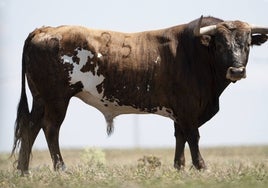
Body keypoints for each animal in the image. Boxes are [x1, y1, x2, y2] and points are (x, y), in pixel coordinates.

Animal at [12, 15, 268, 174]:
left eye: (247, 44)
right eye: (220, 44)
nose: (237, 70)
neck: (197, 53)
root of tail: (45, 29)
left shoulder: (181, 112)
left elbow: (180, 137)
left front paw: (179, 167)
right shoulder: (187, 108)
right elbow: (193, 137)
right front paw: (201, 167)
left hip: (40, 98)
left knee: (31, 127)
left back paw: (24, 170)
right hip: (56, 99)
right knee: (50, 128)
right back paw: (61, 168)